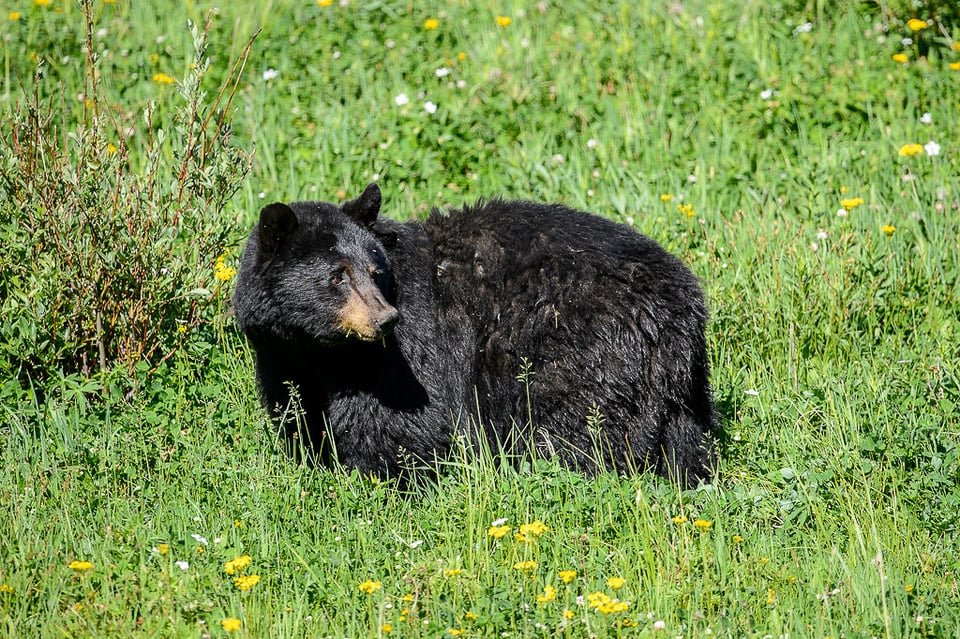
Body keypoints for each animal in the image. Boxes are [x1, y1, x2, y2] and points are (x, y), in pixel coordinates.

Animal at [232, 184, 712, 484]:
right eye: (337, 275)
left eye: (375, 269)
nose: (386, 319)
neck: (317, 349)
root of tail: (678, 314)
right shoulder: (281, 356)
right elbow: (300, 414)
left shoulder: (404, 355)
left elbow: (403, 425)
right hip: (684, 397)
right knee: (687, 444)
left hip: (579, 355)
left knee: (574, 430)